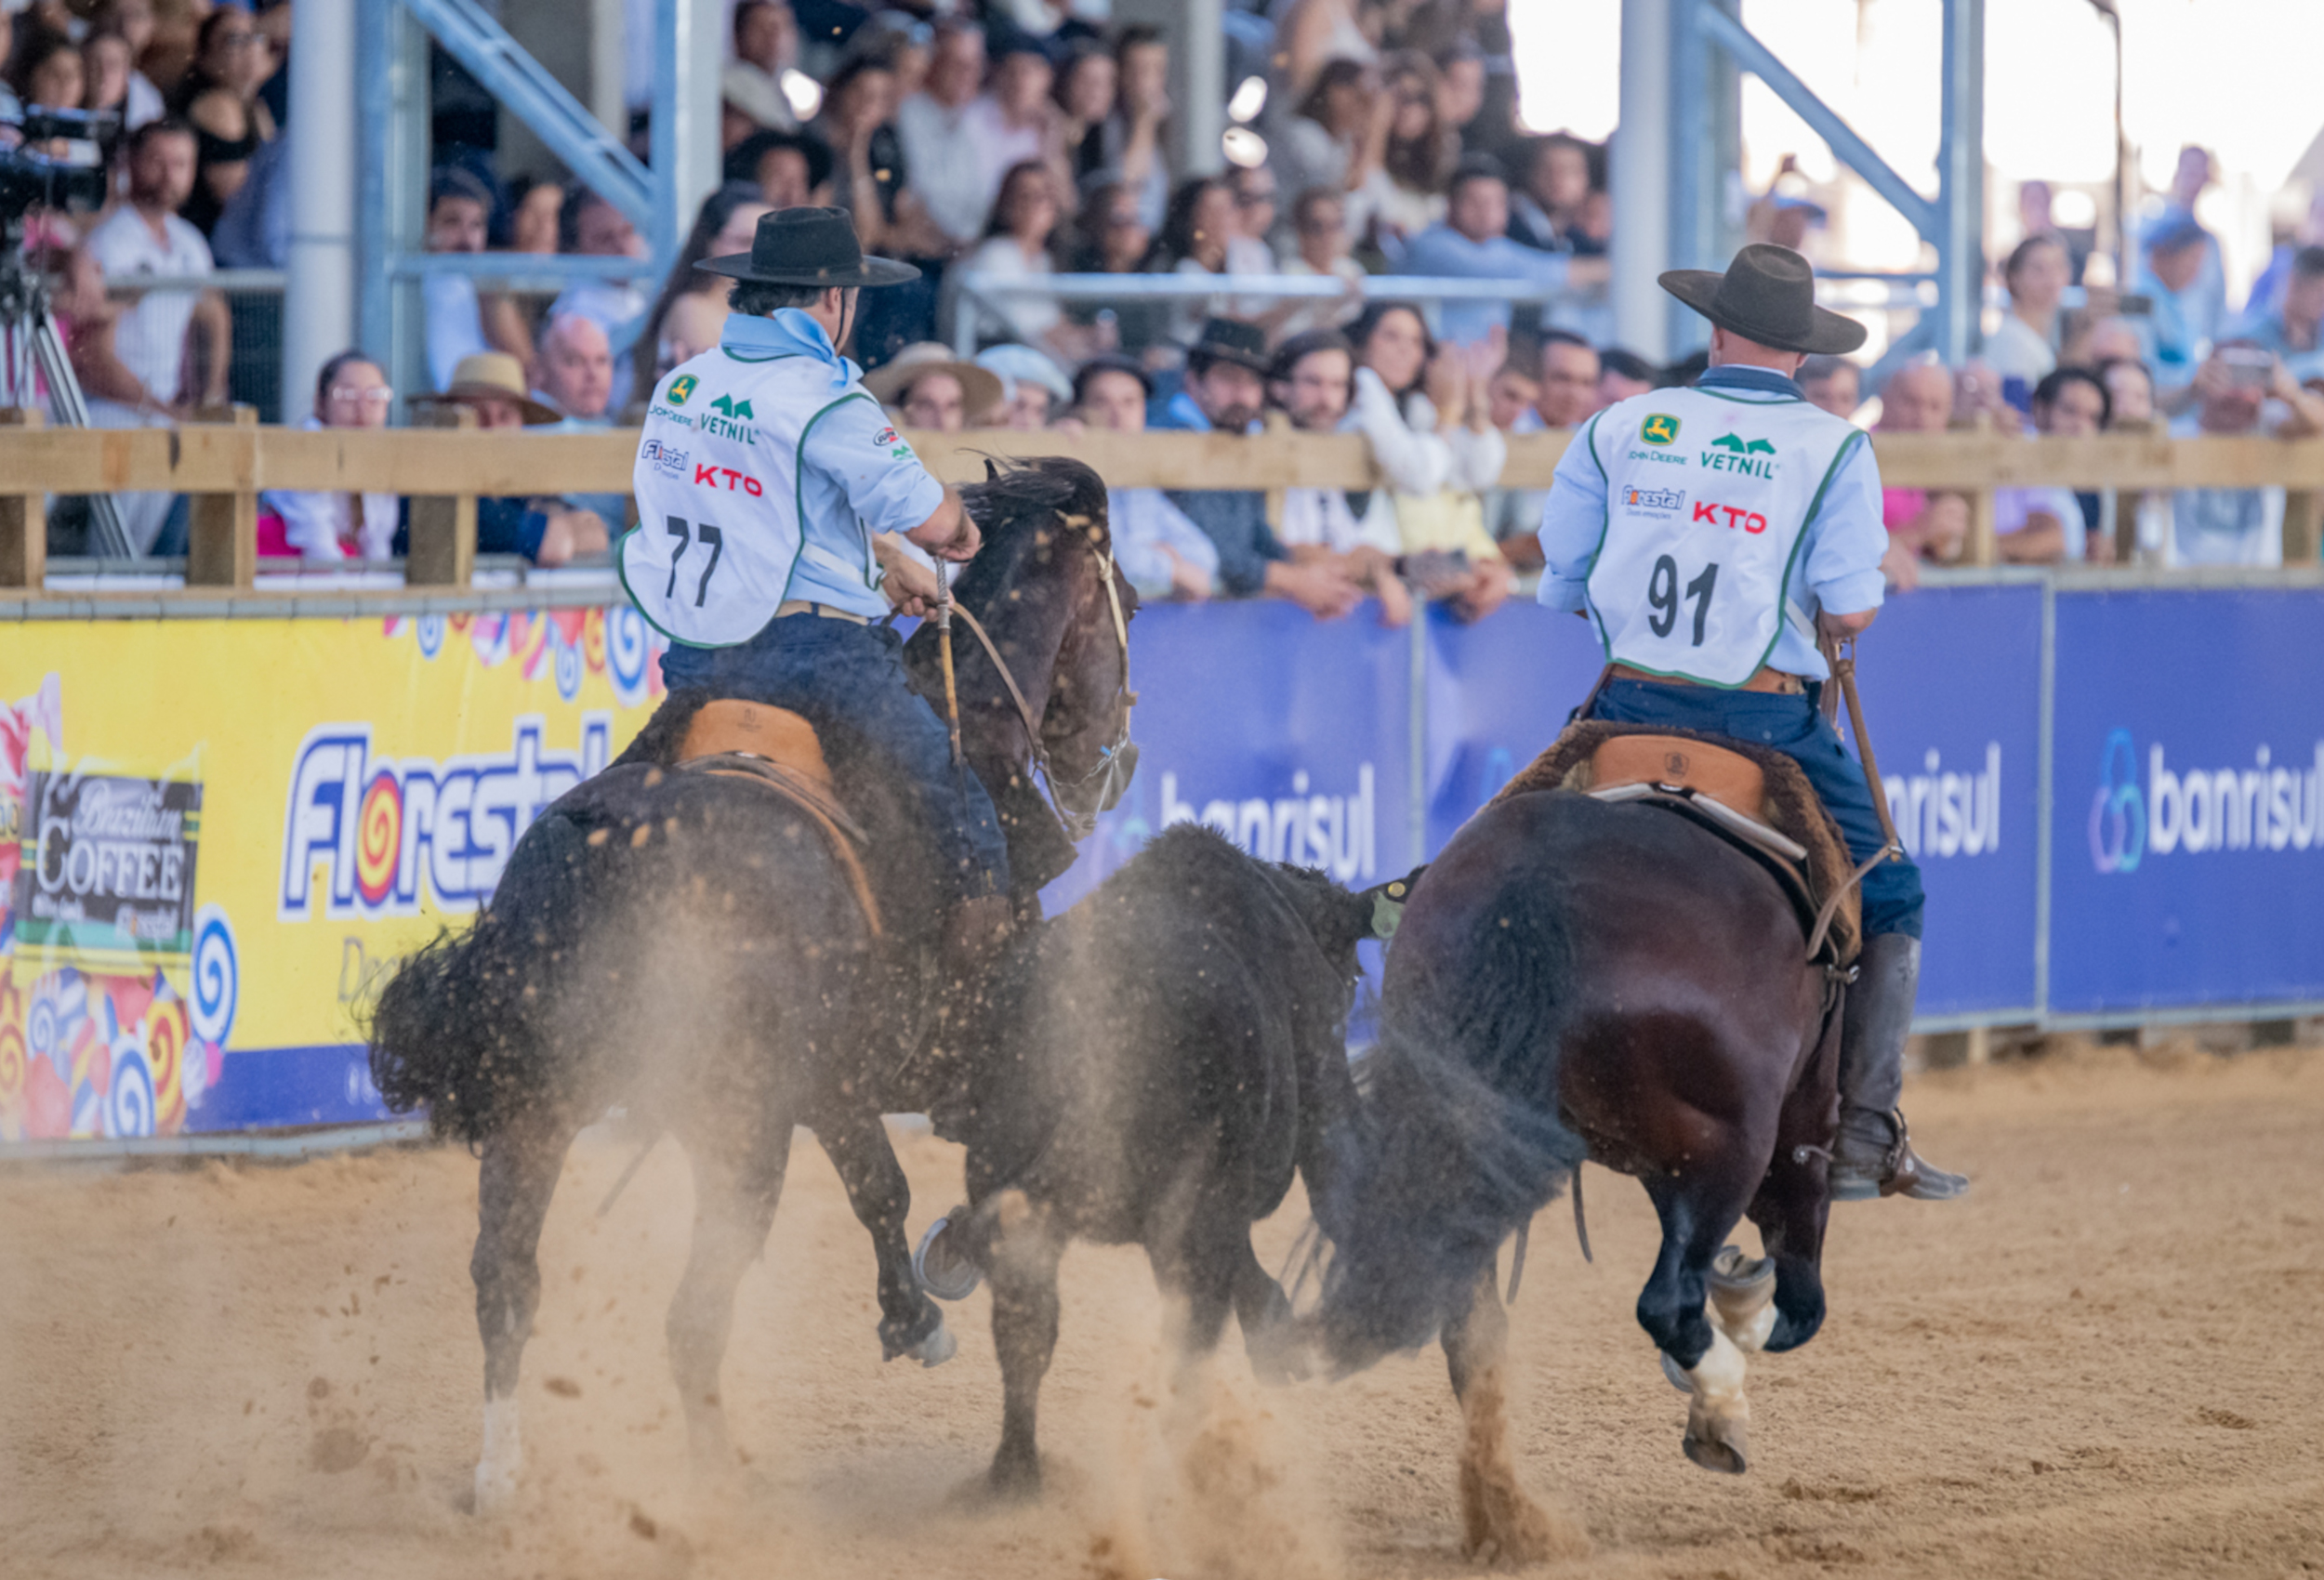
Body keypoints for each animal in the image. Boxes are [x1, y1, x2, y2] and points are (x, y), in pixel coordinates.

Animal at [367, 460, 1139, 1515]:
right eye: (1126, 598)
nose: (1115, 763)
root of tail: (615, 843)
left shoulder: (833, 1086)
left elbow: (878, 1188)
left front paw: (914, 1308)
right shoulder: (883, 1076)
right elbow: (907, 1187)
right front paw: (935, 1285)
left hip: (543, 1108)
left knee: (507, 1281)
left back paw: (501, 1474)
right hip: (737, 1136)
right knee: (692, 1315)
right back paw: (712, 1490)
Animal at [916, 827, 1404, 1496]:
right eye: (1350, 969)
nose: (1355, 985)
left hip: (1006, 1163)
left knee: (1028, 1318)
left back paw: (1014, 1474)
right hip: (1188, 1208)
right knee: (1188, 1340)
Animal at [1320, 785, 1841, 1561]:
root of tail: (1535, 885)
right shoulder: (1785, 1134)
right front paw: (1747, 1317)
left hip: (1466, 1141)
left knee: (1471, 1326)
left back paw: (1510, 1520)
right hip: (1725, 1148)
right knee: (1668, 1300)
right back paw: (1723, 1395)